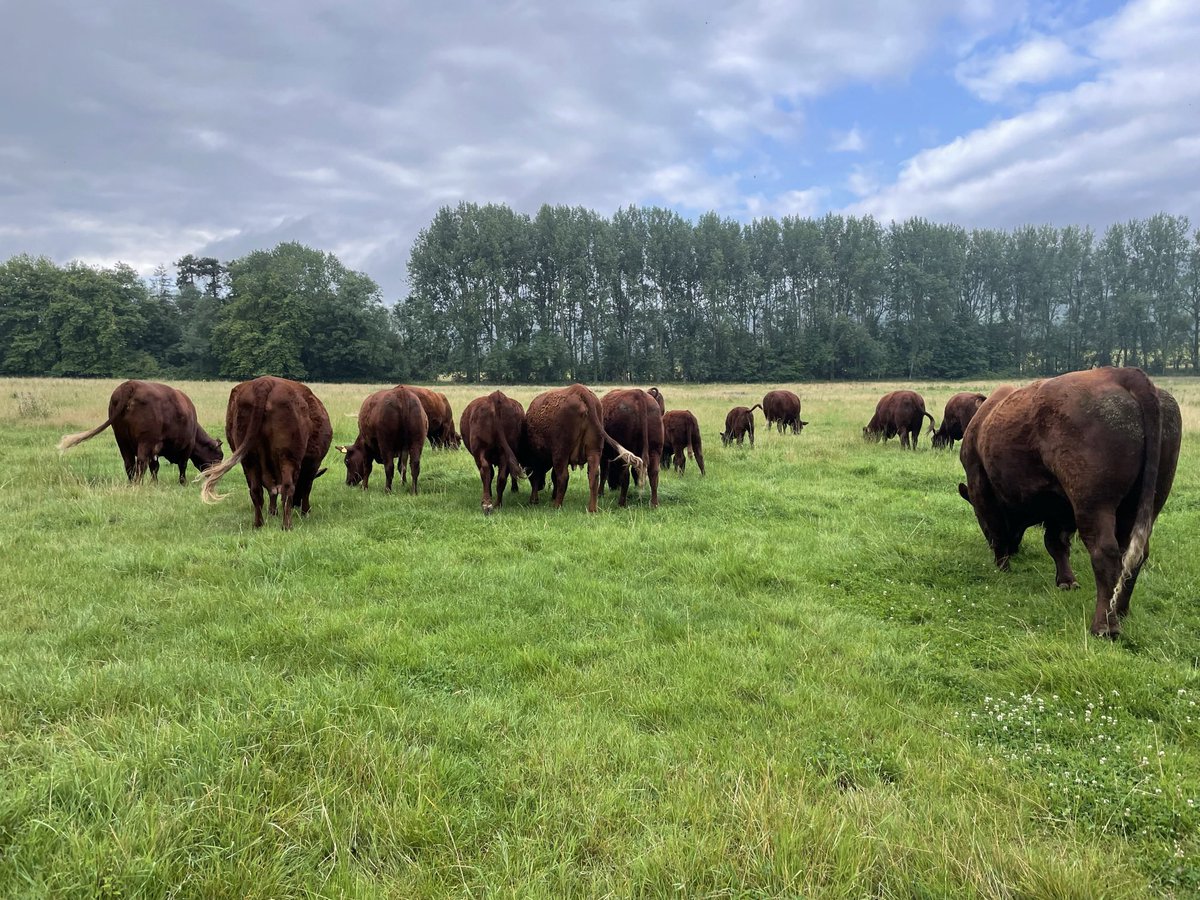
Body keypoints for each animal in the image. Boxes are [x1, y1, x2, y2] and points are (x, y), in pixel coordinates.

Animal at [58, 380, 223, 484]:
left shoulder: (155, 449)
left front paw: (154, 483)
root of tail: (130, 385)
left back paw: (132, 483)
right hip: (145, 440)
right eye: (219, 456)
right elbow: (182, 466)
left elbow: (155, 466)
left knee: (129, 463)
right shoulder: (186, 446)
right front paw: (182, 483)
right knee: (141, 463)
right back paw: (138, 484)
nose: (217, 476)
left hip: (122, 439)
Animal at [199, 376, 332, 530]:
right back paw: (287, 525)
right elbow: (306, 486)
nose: (296, 505)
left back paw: (258, 524)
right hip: (288, 456)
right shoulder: (313, 462)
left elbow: (271, 490)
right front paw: (306, 511)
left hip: (248, 458)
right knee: (287, 488)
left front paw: (272, 511)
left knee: (256, 490)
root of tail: (264, 382)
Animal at [519, 384, 644, 513]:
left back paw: (557, 505)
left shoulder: (536, 458)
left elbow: (536, 476)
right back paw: (592, 508)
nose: (541, 487)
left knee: (563, 476)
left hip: (561, 452)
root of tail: (580, 391)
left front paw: (534, 499)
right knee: (594, 475)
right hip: (594, 451)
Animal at [958, 367, 1181, 637]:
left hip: (1094, 505)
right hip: (1144, 503)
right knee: (1135, 554)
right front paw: (1066, 581)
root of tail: (1124, 374)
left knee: (1105, 553)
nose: (1014, 550)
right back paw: (1121, 611)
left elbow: (1000, 529)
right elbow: (1057, 544)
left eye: (976, 516)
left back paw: (1104, 626)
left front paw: (1003, 566)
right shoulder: (1060, 508)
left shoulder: (980, 485)